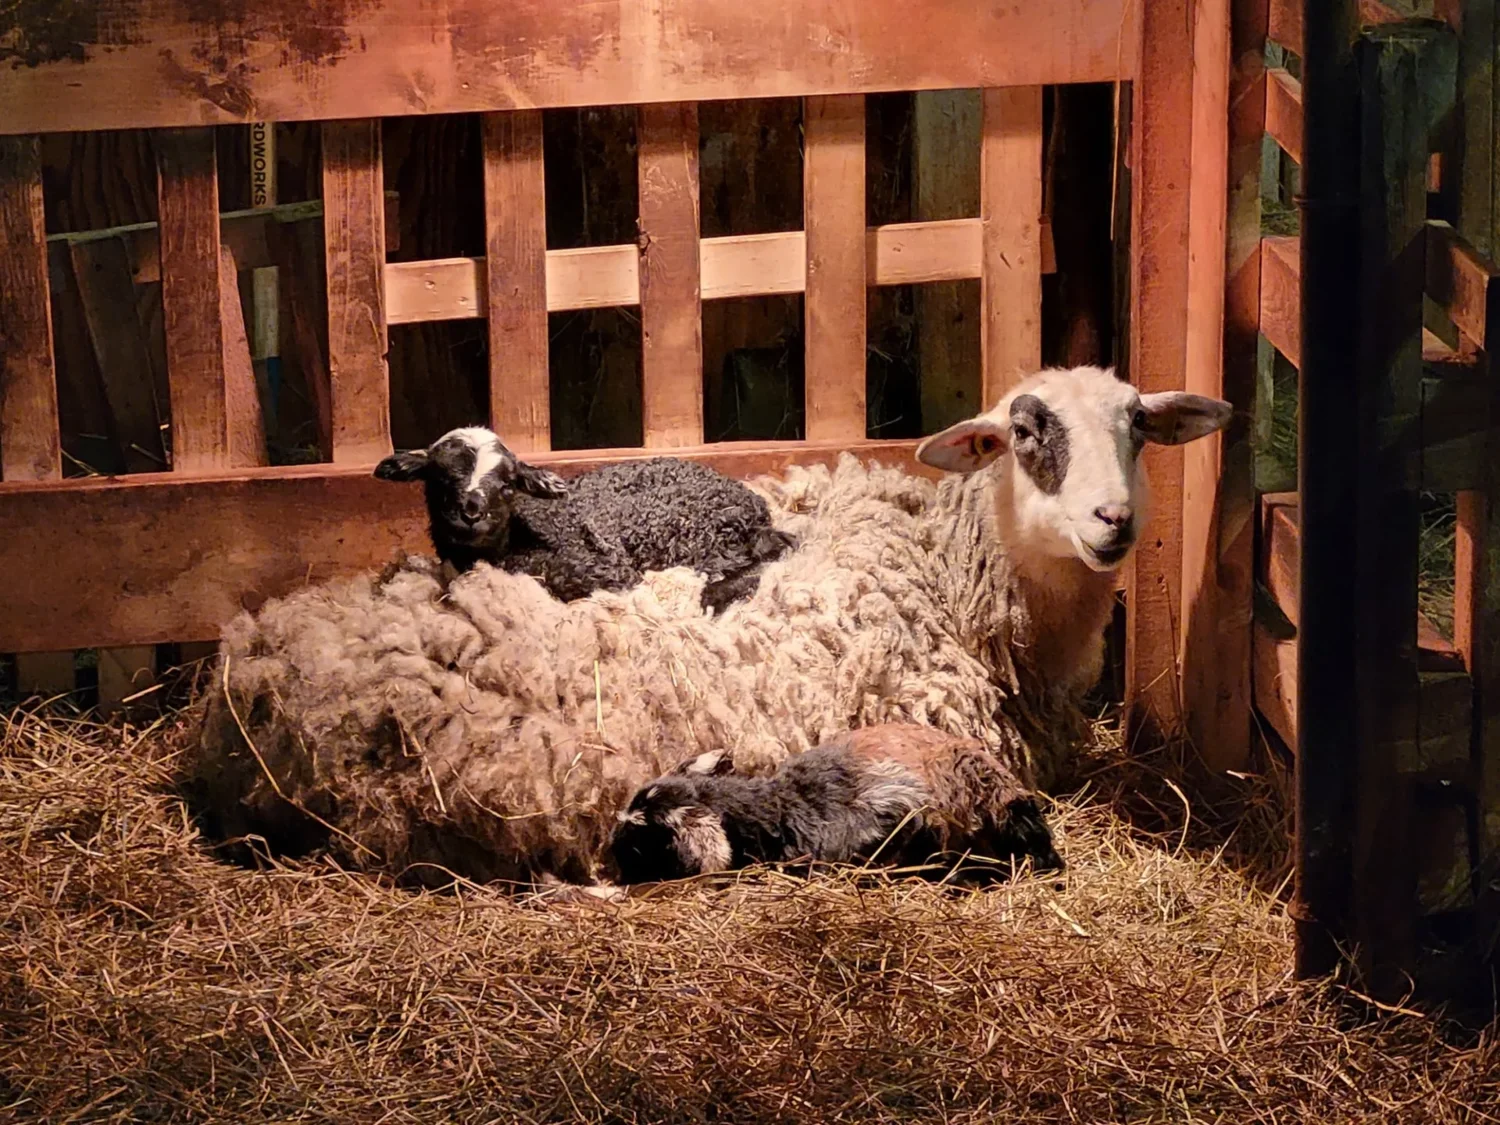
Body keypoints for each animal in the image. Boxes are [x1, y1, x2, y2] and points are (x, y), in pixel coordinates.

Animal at [373, 426, 794, 611]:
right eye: (439, 478)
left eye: (508, 485)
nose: (471, 513)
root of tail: (754, 506)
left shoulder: (603, 566)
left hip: (695, 538)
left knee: (762, 565)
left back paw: (713, 597)